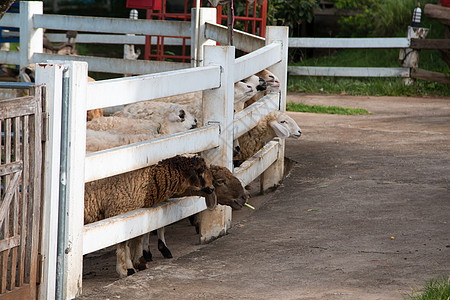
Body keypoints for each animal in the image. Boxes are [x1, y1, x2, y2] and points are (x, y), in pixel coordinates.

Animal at [85, 155, 217, 276]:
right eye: (201, 169)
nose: (212, 188)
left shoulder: (134, 212)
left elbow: (137, 236)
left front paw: (139, 261)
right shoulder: (120, 210)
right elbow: (124, 243)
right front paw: (126, 269)